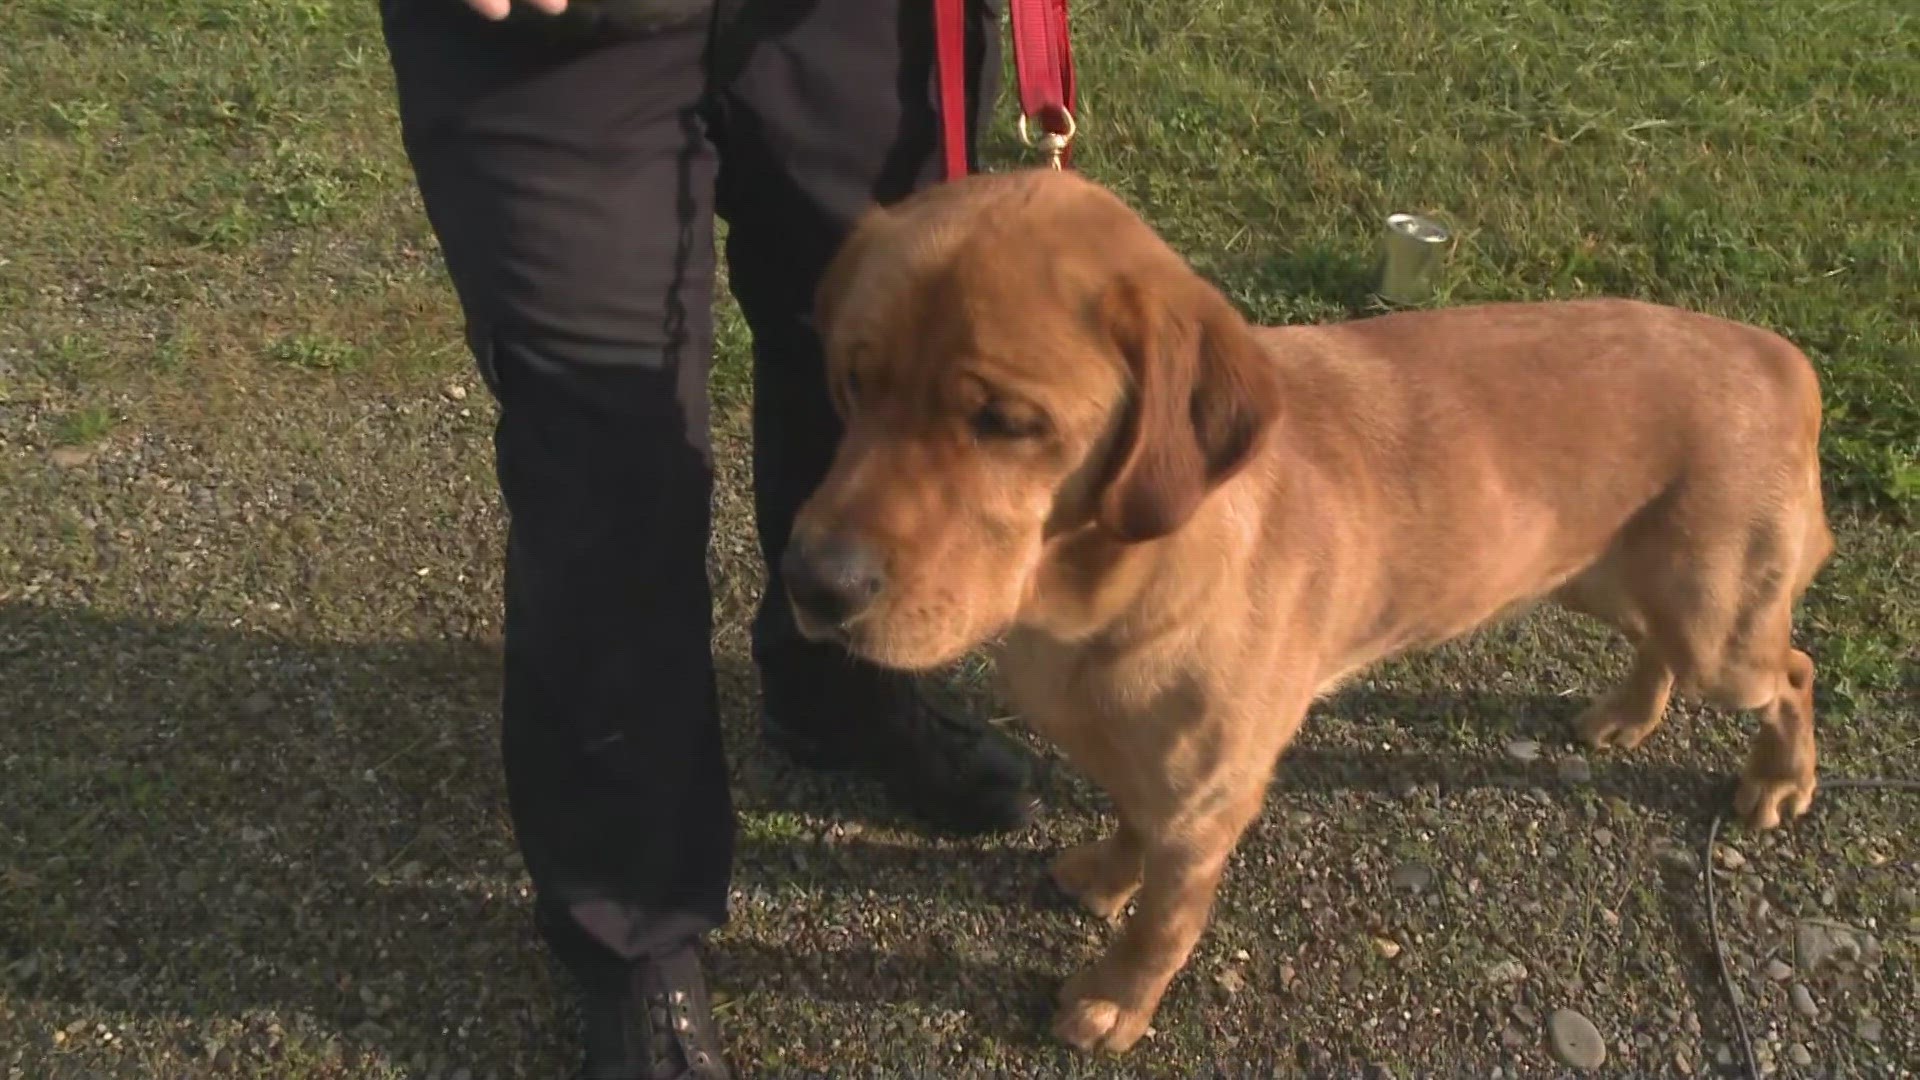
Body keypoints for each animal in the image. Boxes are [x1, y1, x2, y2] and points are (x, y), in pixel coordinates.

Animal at [779, 168, 1827, 1053]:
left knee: (1795, 672)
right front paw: (1108, 876)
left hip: (1718, 627)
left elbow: (1163, 924)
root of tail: (1782, 356)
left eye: (1005, 422)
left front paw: (1114, 998)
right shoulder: (1152, 775)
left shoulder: (1207, 801)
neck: (1090, 598)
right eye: (854, 380)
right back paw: (1627, 714)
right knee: (1664, 649)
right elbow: (1128, 826)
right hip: (1607, 577)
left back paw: (1779, 781)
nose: (811, 583)